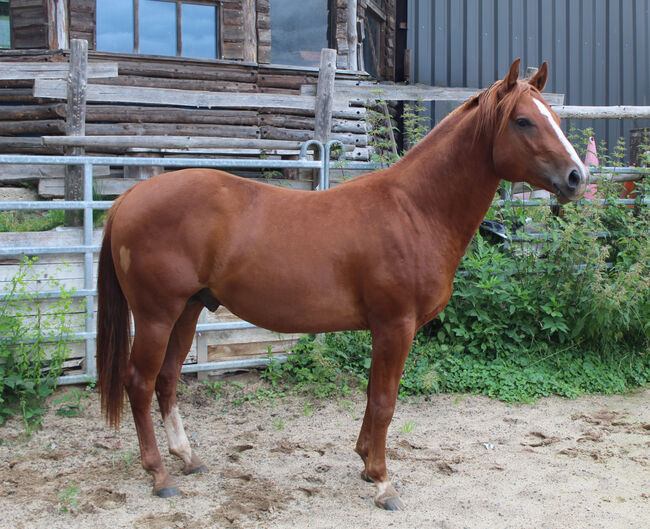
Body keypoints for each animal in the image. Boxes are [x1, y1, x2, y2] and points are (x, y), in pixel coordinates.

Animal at [95, 59, 588, 510]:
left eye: (553, 117)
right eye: (523, 120)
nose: (577, 177)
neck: (414, 209)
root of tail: (129, 198)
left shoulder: (383, 330)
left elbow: (372, 395)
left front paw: (366, 464)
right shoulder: (395, 326)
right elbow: (386, 400)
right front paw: (384, 482)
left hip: (188, 309)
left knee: (167, 379)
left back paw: (187, 458)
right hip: (157, 315)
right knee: (139, 382)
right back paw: (159, 475)